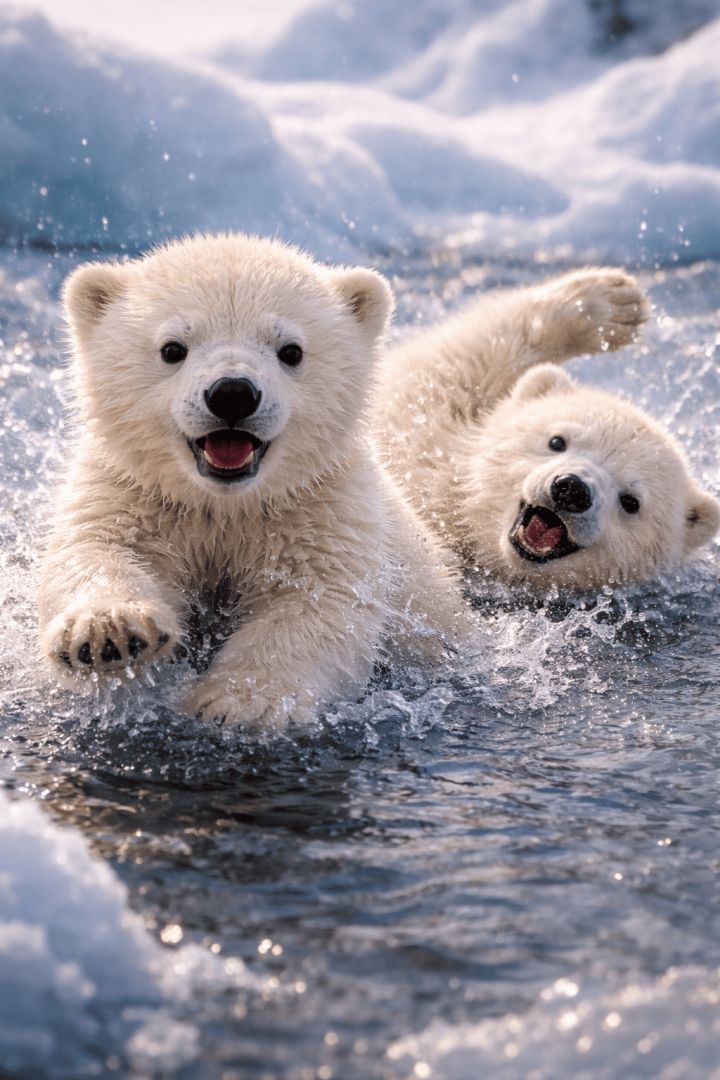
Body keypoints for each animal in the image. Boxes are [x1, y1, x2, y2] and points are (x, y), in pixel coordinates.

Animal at [37, 233, 472, 730]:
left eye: (291, 350)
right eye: (172, 348)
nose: (232, 393)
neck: (226, 504)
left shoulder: (320, 507)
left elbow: (318, 601)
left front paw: (239, 701)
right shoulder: (133, 490)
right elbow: (98, 545)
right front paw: (108, 634)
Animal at [374, 268, 720, 593]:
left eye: (631, 502)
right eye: (557, 441)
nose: (571, 490)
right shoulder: (425, 431)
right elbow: (462, 360)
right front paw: (611, 301)